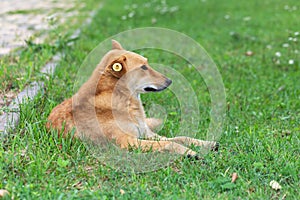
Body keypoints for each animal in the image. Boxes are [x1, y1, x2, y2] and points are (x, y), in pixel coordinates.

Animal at [45, 39, 217, 157]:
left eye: (147, 64)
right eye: (143, 67)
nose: (170, 81)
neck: (123, 99)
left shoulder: (148, 134)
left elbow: (180, 137)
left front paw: (205, 143)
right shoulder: (129, 142)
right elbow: (170, 143)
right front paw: (189, 152)